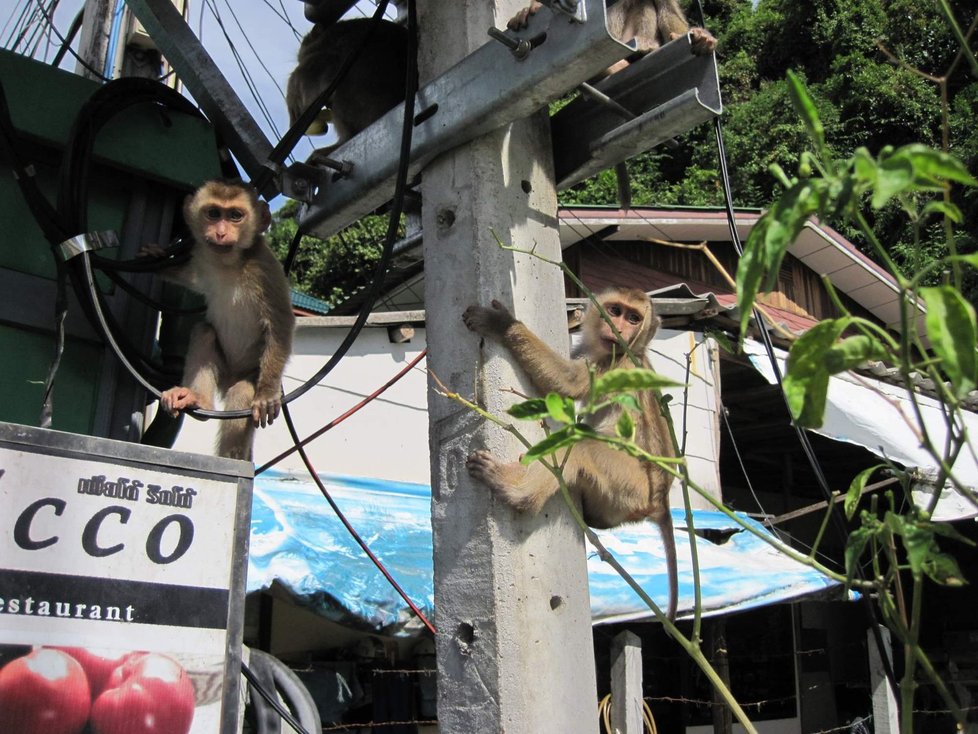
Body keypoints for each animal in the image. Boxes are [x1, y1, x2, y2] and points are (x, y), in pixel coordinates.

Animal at [141, 180, 294, 462]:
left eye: (235, 216)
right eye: (213, 214)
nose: (221, 233)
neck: (229, 265)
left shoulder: (265, 269)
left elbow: (280, 323)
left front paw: (267, 394)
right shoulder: (203, 262)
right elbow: (187, 277)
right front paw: (157, 258)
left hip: (250, 372)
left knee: (242, 392)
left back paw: (232, 458)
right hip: (221, 369)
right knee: (204, 331)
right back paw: (197, 400)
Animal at [462, 288, 676, 620]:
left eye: (634, 318)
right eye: (615, 311)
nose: (618, 327)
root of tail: (660, 500)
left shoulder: (611, 366)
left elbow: (568, 384)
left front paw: (502, 324)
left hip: (631, 485)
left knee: (578, 448)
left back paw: (516, 490)